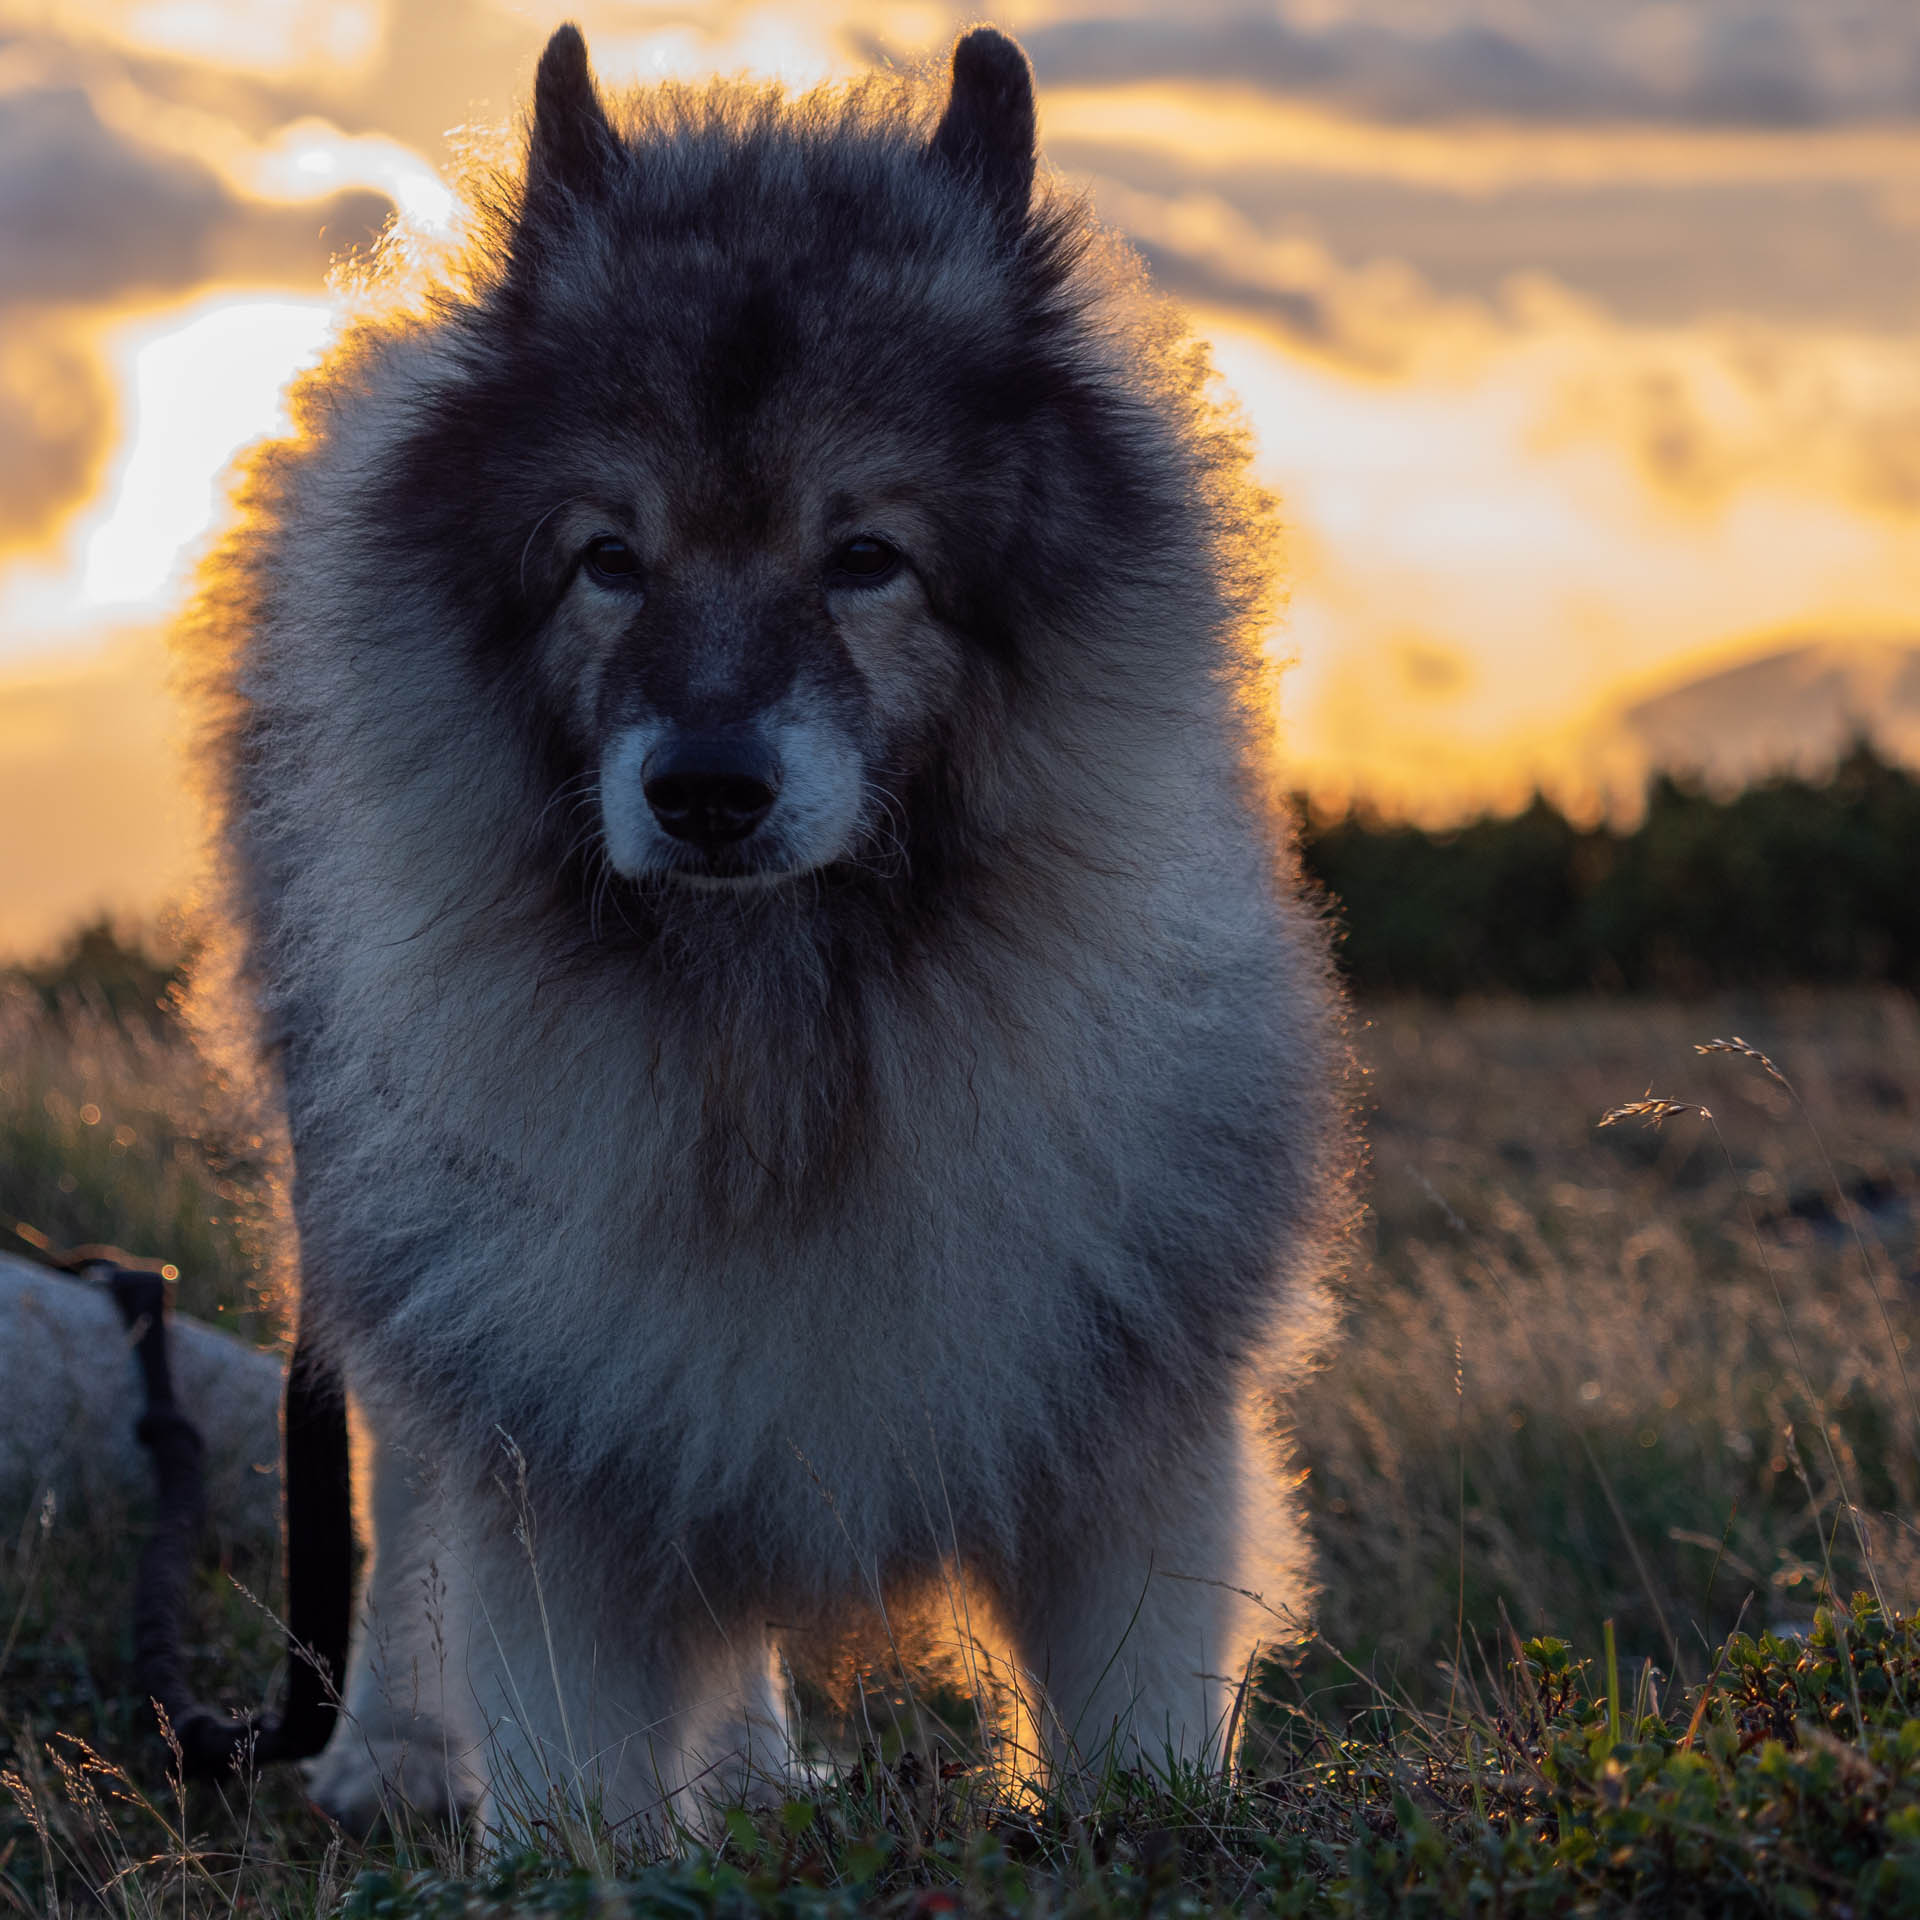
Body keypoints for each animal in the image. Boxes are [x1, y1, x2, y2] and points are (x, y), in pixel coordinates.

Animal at [187, 22, 1344, 1835]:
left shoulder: (1124, 1417)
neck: (783, 1029)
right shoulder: (559, 1422)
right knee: (400, 1493)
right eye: (609, 558)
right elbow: (561, 1741)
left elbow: (1137, 1722)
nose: (709, 790)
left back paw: (745, 1768)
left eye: (866, 557)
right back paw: (388, 1753)